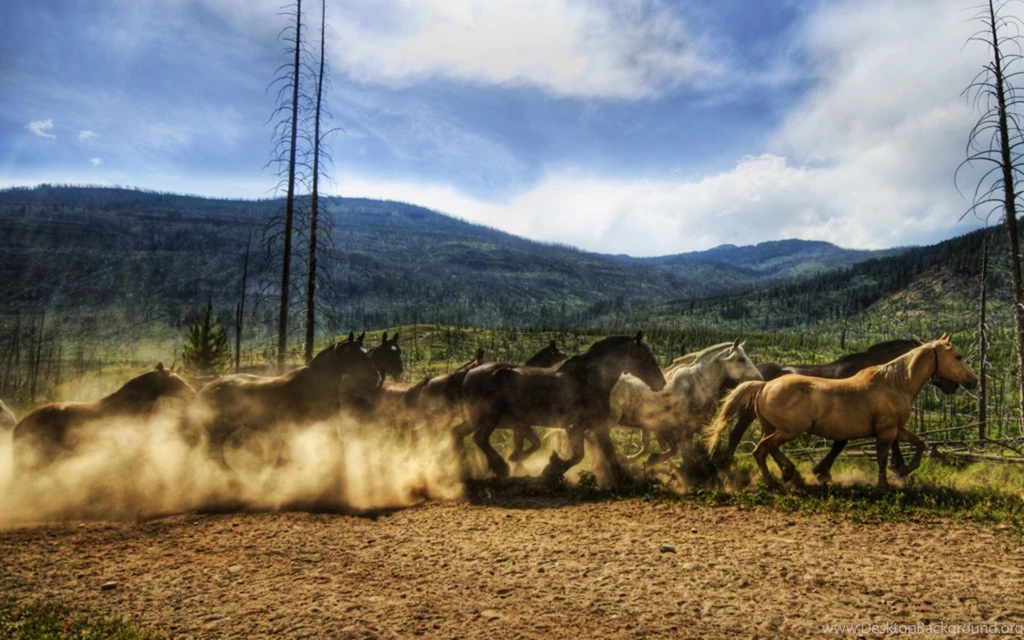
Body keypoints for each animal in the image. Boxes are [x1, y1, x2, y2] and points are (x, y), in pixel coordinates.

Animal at [192, 333, 381, 474]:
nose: (375, 377)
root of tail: (205, 388)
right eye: (354, 354)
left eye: (366, 352)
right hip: (218, 432)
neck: (313, 384)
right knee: (215, 456)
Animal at [460, 333, 666, 483]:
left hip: (477, 418)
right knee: (479, 439)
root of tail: (470, 374)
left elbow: (608, 452)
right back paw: (500, 467)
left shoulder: (597, 425)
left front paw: (624, 479)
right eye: (646, 357)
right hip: (489, 417)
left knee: (460, 435)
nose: (661, 382)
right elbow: (578, 455)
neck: (587, 379)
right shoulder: (574, 426)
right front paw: (552, 469)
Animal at [704, 334, 977, 489]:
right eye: (958, 356)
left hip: (771, 427)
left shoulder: (894, 427)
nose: (972, 381)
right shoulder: (885, 429)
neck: (893, 381)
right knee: (756, 446)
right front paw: (887, 480)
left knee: (763, 447)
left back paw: (783, 475)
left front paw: (903, 470)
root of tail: (763, 384)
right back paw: (773, 476)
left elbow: (918, 443)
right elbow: (879, 454)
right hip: (786, 430)